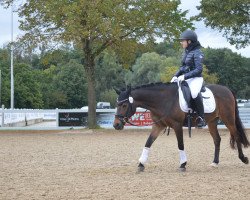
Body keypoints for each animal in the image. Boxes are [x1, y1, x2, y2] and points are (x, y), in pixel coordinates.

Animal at [113, 82, 248, 172]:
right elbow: (148, 143)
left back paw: (243, 158)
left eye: (124, 105)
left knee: (236, 135)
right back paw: (215, 163)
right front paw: (141, 164)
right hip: (212, 122)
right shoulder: (158, 126)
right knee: (217, 139)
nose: (116, 125)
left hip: (228, 119)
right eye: (117, 104)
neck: (163, 100)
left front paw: (183, 164)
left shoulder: (177, 125)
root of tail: (227, 89)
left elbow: (180, 144)